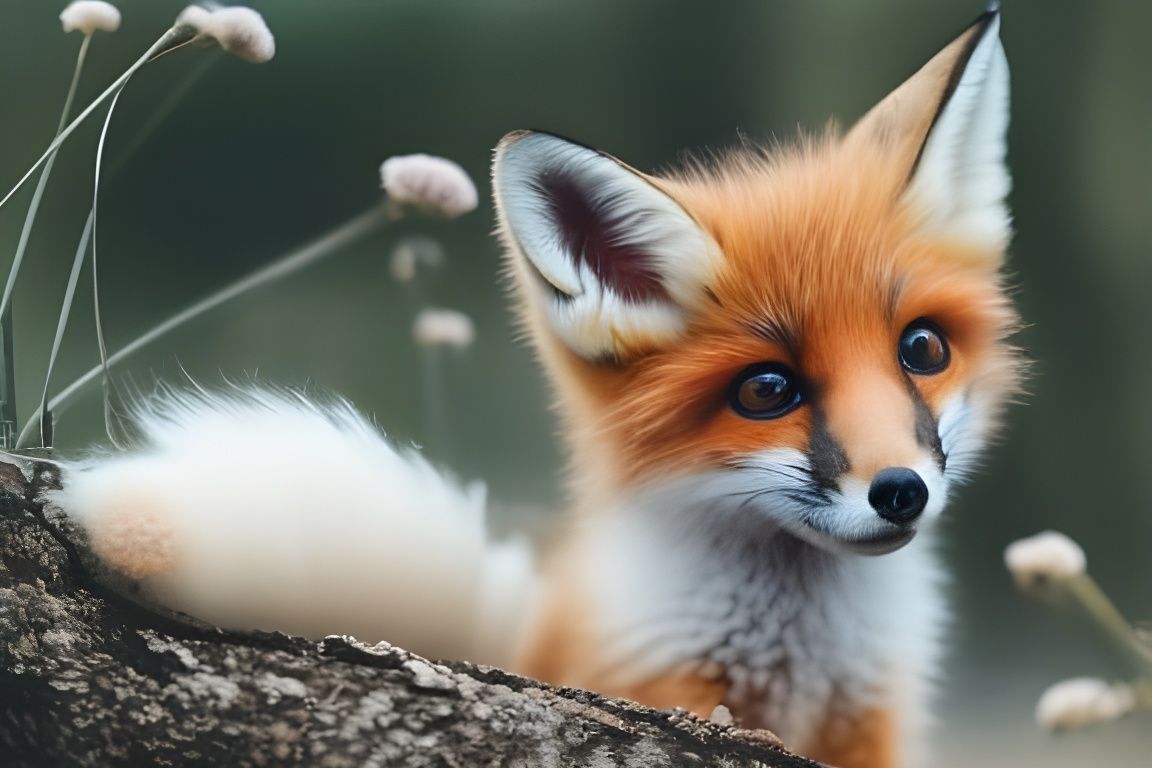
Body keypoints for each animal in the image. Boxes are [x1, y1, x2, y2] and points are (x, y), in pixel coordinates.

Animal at [46, 5, 1021, 768]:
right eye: (766, 392)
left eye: (922, 348)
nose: (901, 491)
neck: (797, 663)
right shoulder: (662, 687)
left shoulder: (873, 728)